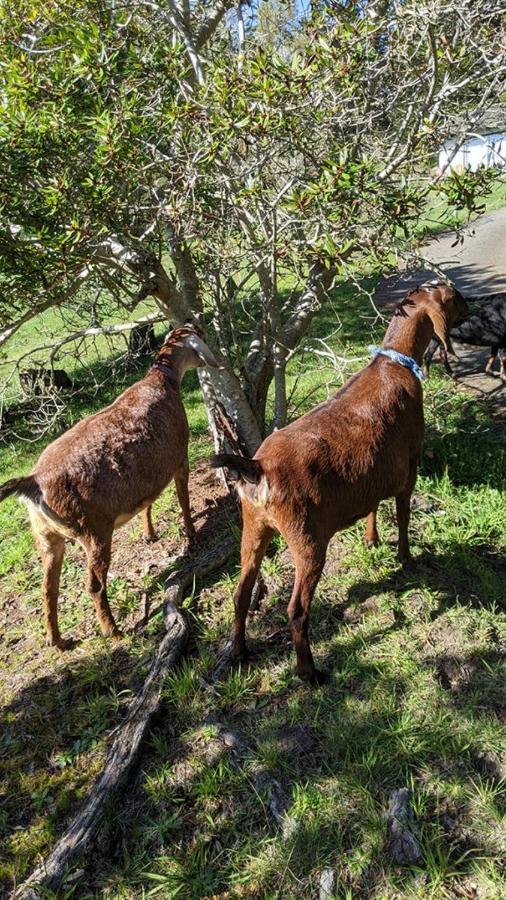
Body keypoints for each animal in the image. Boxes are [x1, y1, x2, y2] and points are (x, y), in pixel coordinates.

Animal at [0, 324, 220, 648]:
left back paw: (58, 640)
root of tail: (34, 483)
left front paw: (149, 534)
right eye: (199, 337)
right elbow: (183, 497)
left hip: (45, 535)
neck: (163, 382)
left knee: (48, 588)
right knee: (93, 585)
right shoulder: (180, 455)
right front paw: (192, 535)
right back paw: (113, 630)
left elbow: (148, 502)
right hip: (93, 529)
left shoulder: (148, 476)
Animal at [211, 284, 468, 684]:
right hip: (308, 542)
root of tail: (257, 466)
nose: (471, 307)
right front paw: (406, 558)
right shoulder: (408, 469)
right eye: (454, 297)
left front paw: (371, 539)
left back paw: (239, 650)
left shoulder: (374, 469)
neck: (393, 364)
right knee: (297, 610)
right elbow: (403, 516)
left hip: (253, 529)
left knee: (241, 593)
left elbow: (373, 505)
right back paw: (308, 671)